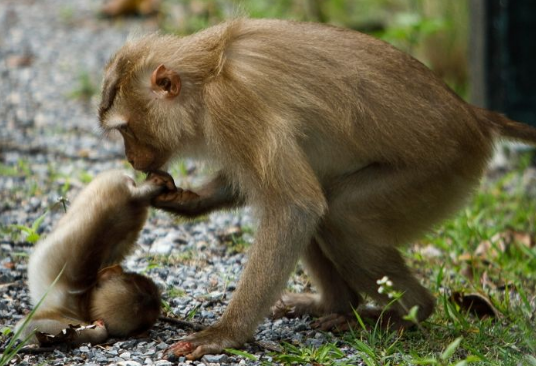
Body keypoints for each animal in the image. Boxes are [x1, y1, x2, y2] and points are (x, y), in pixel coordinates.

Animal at [98, 18, 536, 358]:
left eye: (126, 130)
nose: (132, 160)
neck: (207, 74)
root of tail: (473, 116)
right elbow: (281, 195)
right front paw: (187, 201)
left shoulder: (233, 105)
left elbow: (294, 207)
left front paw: (225, 334)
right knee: (322, 203)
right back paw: (337, 305)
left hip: (442, 172)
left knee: (338, 214)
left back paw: (408, 313)